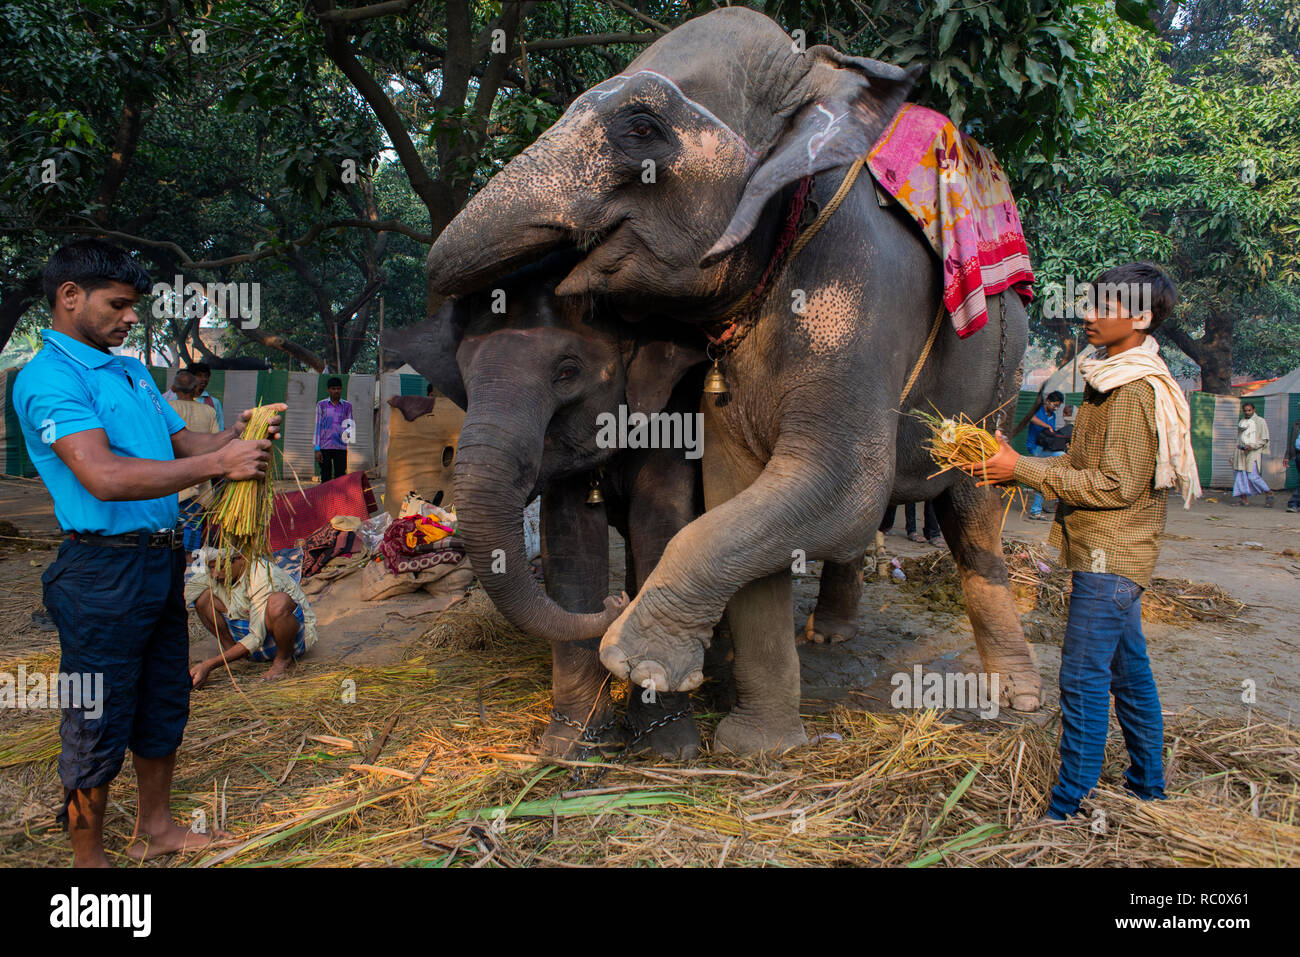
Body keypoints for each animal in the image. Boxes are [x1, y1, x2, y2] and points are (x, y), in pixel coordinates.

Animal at [426, 7, 1045, 754]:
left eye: (641, 127)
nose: (545, 272)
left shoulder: (863, 293)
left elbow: (840, 484)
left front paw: (642, 661)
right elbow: (738, 491)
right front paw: (755, 745)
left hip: (1004, 376)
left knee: (974, 514)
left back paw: (1019, 698)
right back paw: (829, 634)